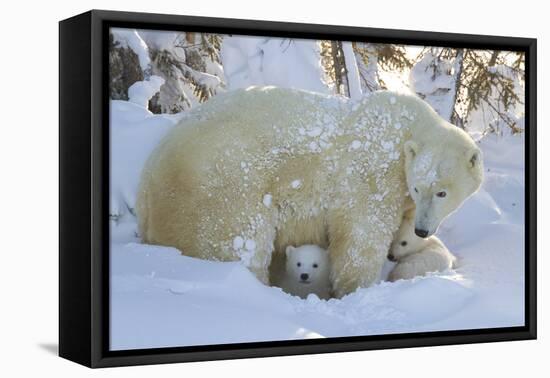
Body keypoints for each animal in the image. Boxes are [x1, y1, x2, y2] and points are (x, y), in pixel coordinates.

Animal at [138, 87, 484, 296]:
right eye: (419, 186)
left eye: (442, 193)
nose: (424, 229)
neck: (406, 129)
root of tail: (148, 175)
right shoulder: (373, 174)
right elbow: (360, 237)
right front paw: (356, 290)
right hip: (221, 188)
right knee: (238, 243)